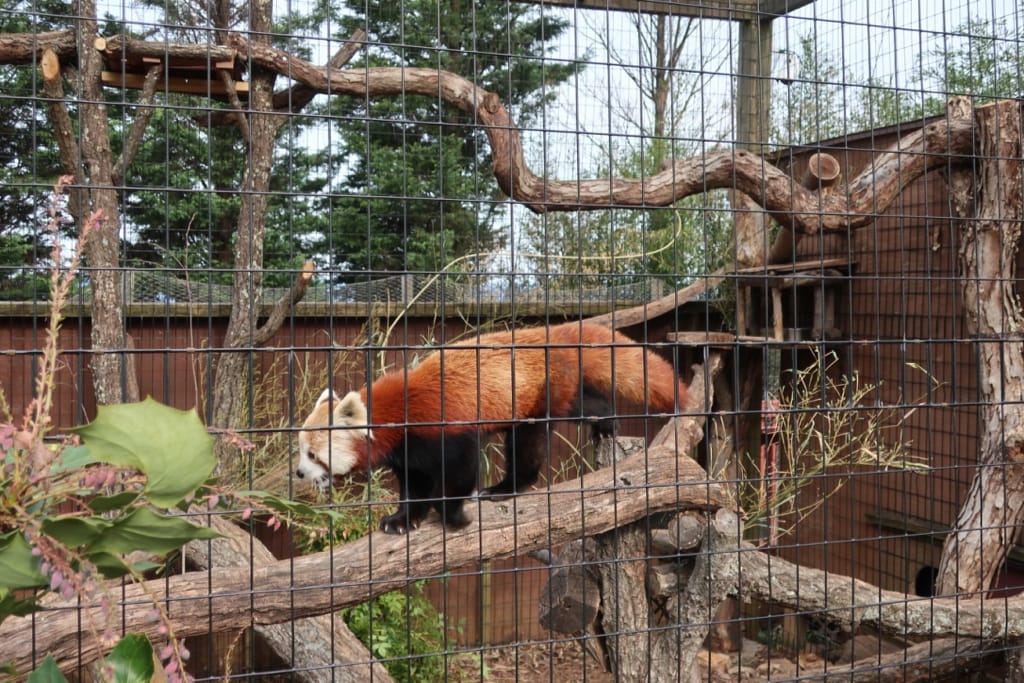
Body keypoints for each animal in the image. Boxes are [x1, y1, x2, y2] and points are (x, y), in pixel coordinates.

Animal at [299, 321, 688, 532]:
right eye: (302, 452)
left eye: (313, 454)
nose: (300, 474)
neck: (401, 409)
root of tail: (553, 333)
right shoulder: (408, 452)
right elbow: (414, 486)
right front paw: (402, 519)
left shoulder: (446, 429)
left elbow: (461, 470)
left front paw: (454, 515)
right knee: (576, 411)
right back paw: (604, 424)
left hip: (537, 397)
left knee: (530, 443)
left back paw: (508, 486)